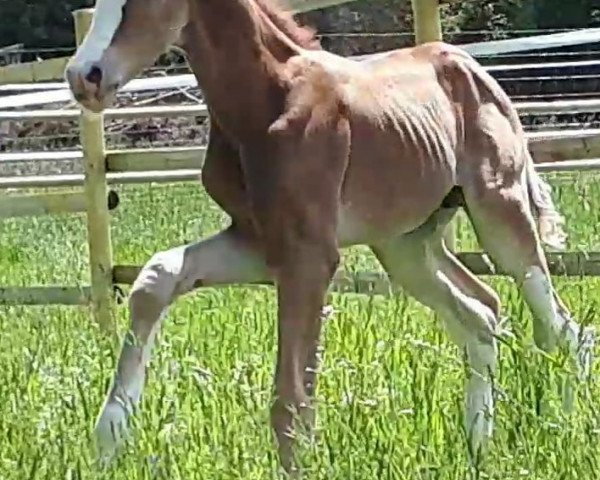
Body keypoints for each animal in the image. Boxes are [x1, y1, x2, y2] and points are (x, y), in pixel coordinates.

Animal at [67, 0, 596, 470]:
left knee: (563, 327)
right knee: (482, 312)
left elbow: (291, 399)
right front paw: (109, 436)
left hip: (500, 212)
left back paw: (566, 429)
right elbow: (157, 277)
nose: (83, 75)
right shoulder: (258, 243)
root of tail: (477, 72)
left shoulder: (310, 256)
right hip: (405, 245)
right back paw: (477, 448)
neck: (266, 100)